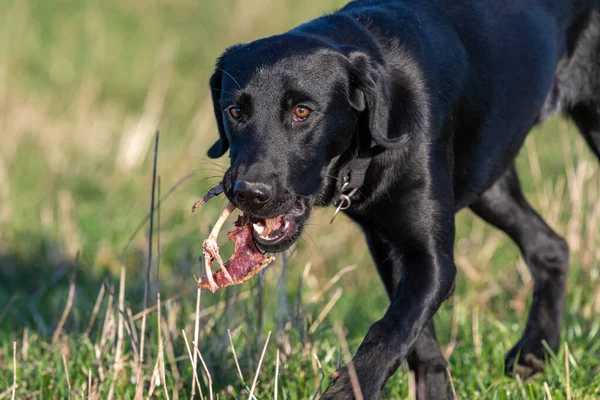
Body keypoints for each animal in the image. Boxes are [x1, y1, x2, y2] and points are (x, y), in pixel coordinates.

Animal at [206, 1, 600, 398]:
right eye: (235, 111)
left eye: (302, 111)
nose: (249, 192)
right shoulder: (390, 248)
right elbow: (418, 342)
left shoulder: (431, 259)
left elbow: (391, 329)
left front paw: (349, 389)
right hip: (490, 183)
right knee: (550, 246)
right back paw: (534, 350)